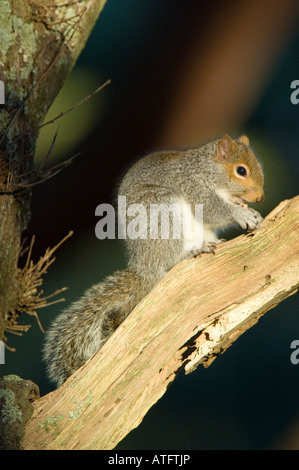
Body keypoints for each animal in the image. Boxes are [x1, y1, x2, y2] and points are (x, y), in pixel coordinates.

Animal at [44, 134, 264, 388]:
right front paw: (241, 214)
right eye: (241, 170)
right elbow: (212, 210)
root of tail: (145, 265)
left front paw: (251, 212)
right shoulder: (194, 185)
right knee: (170, 260)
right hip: (163, 214)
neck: (207, 167)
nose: (260, 198)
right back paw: (192, 252)